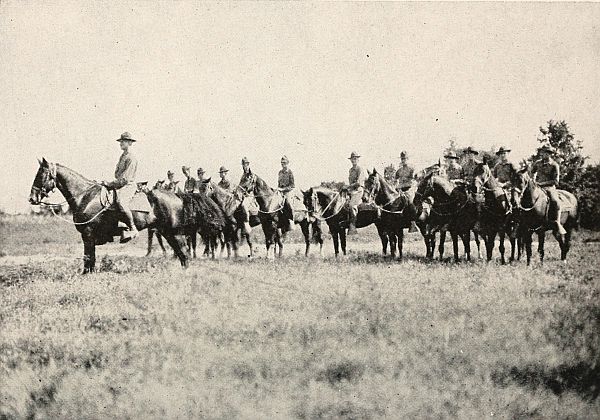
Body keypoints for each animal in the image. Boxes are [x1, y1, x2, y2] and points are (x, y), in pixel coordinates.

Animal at [29, 158, 189, 272]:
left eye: (41, 174)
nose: (32, 198)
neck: (84, 196)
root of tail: (177, 196)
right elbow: (90, 259)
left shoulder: (87, 234)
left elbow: (88, 258)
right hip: (166, 232)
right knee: (181, 254)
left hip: (174, 232)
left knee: (184, 252)